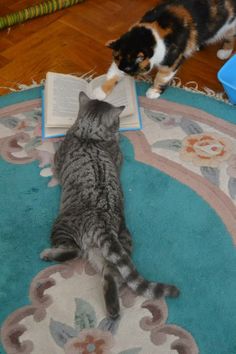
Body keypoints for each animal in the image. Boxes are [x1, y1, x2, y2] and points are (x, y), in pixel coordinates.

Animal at [40, 92, 179, 320]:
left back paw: (49, 254)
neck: (89, 134)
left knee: (75, 251)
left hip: (62, 225)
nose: (120, 128)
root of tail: (102, 222)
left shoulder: (59, 159)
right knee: (112, 275)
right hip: (121, 242)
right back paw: (113, 309)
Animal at [94, 0, 236, 99]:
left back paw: (224, 52)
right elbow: (112, 73)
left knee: (231, 37)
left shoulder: (172, 60)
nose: (127, 75)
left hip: (230, 27)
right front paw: (100, 92)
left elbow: (162, 77)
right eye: (123, 68)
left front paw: (153, 91)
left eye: (129, 69)